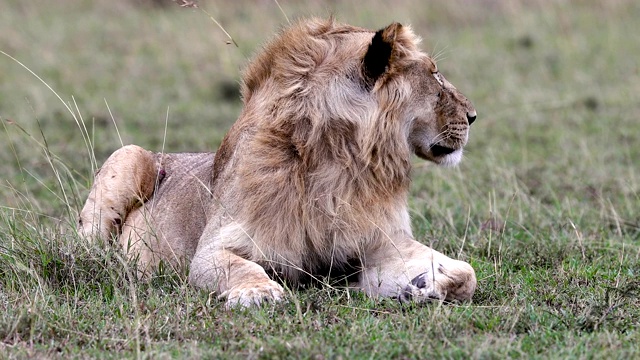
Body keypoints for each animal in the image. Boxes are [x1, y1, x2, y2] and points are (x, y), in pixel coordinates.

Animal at [77, 18, 478, 308]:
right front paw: (259, 291)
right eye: (435, 76)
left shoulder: (376, 243)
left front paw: (424, 284)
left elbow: (467, 274)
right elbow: (239, 266)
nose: (473, 116)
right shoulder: (213, 248)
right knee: (89, 250)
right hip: (129, 156)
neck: (339, 163)